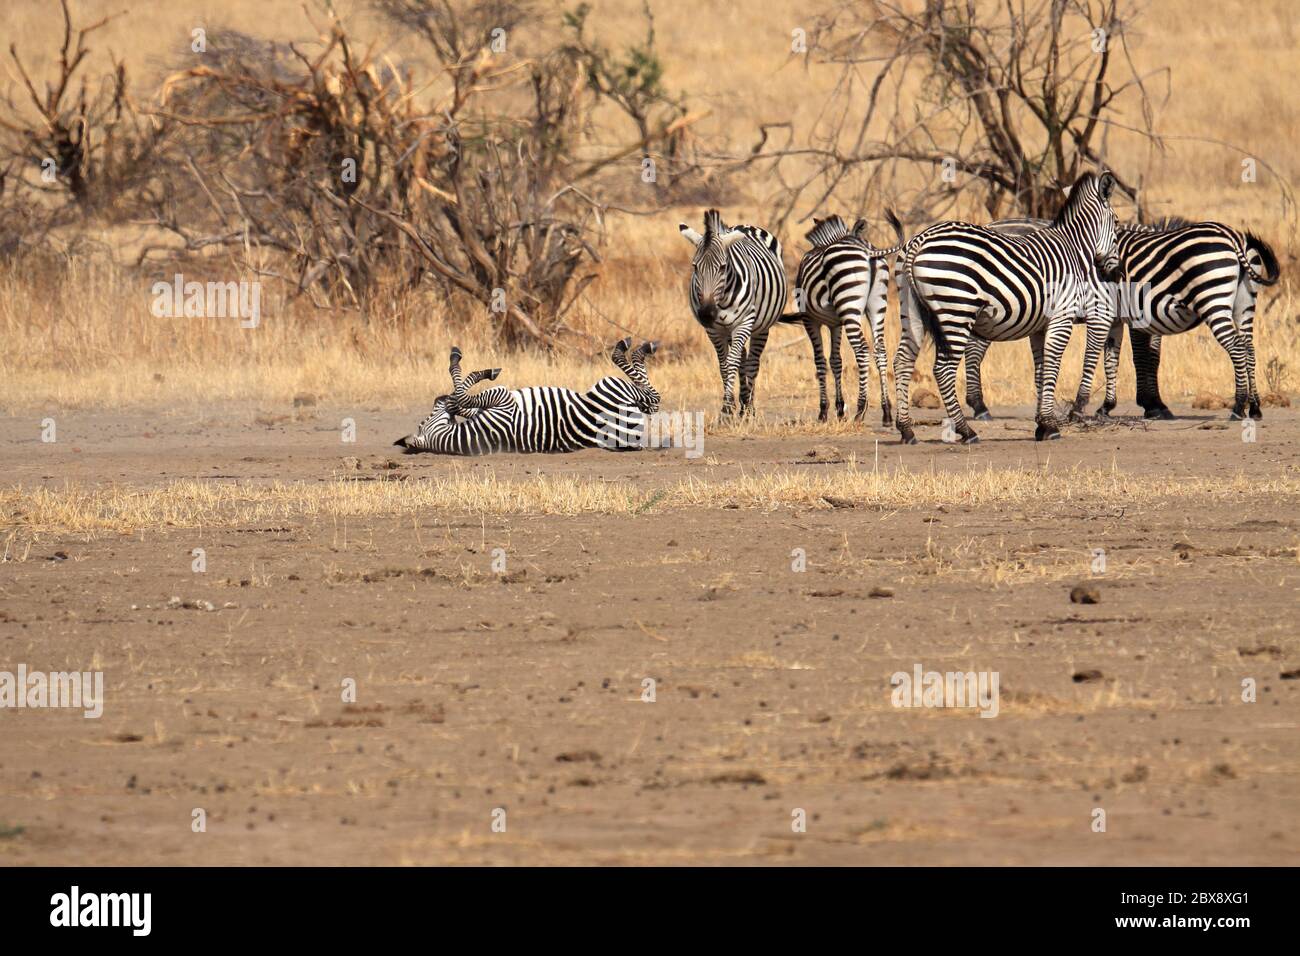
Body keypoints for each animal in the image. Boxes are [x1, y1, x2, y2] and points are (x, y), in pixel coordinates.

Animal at [392, 335, 660, 455]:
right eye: (425, 420)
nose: (438, 398)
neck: (471, 436)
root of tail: (629, 440)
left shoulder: (490, 404)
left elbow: (461, 399)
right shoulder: (502, 400)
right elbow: (461, 394)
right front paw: (484, 371)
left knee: (651, 397)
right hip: (613, 386)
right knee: (651, 396)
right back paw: (637, 347)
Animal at [681, 209, 790, 416]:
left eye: (723, 267)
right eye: (694, 266)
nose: (706, 314)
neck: (721, 301)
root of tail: (745, 226)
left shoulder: (744, 323)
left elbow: (732, 363)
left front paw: (727, 409)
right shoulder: (714, 331)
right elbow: (724, 365)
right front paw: (729, 407)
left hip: (760, 327)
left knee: (753, 363)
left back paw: (749, 408)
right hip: (729, 330)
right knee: (743, 359)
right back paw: (743, 401)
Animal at [780, 218, 894, 429]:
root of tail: (868, 251)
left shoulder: (810, 320)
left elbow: (820, 361)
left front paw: (823, 411)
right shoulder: (836, 324)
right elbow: (836, 361)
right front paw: (840, 409)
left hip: (849, 306)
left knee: (862, 350)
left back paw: (860, 411)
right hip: (876, 306)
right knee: (880, 350)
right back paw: (887, 412)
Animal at [889, 169, 1123, 444]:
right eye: (1116, 224)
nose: (1116, 275)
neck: (1073, 248)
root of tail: (920, 239)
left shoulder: (1039, 325)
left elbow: (1040, 369)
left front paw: (1042, 424)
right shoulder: (1062, 316)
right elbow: (1053, 365)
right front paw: (1051, 426)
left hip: (913, 312)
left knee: (902, 362)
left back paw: (906, 429)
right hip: (957, 310)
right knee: (943, 369)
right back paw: (966, 431)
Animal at [967, 222, 1279, 424]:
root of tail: (1234, 237)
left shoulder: (1112, 313)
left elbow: (1113, 358)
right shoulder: (1118, 316)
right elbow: (1114, 359)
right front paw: (1110, 406)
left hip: (1214, 299)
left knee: (1238, 349)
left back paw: (1239, 406)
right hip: (1243, 304)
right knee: (1248, 350)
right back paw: (1254, 407)